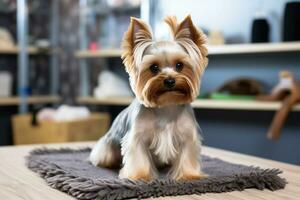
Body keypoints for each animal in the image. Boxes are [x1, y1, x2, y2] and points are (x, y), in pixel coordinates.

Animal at [88, 15, 209, 181]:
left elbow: (188, 155)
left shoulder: (188, 135)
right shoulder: (137, 137)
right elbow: (138, 156)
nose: (169, 81)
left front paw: (189, 175)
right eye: (154, 67)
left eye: (179, 65)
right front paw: (140, 176)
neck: (167, 105)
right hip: (109, 145)